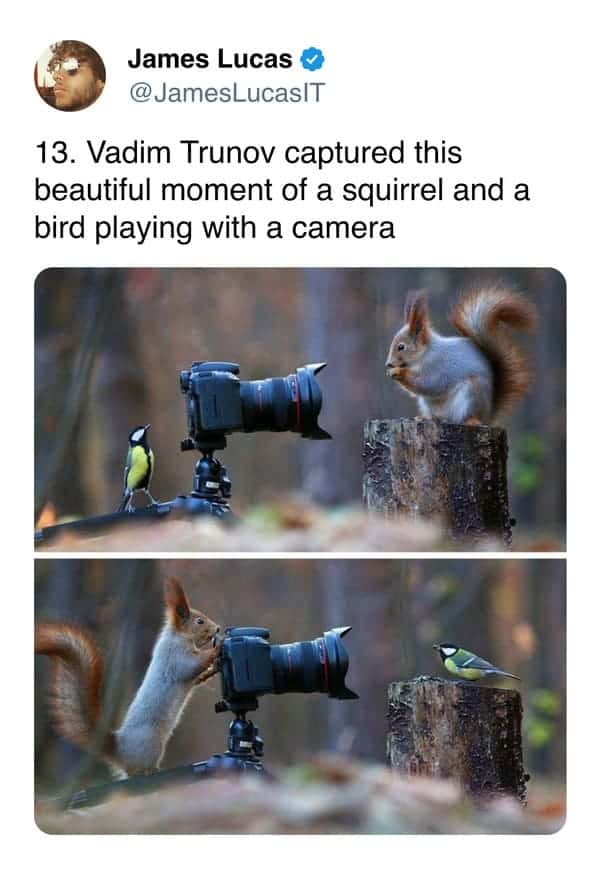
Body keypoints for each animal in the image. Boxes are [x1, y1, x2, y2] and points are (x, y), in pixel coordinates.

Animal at [35, 577, 222, 778]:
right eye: (200, 621)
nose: (218, 628)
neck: (180, 636)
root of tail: (120, 751)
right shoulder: (174, 656)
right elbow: (189, 666)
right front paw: (216, 650)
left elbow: (196, 677)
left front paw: (212, 670)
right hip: (151, 745)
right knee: (138, 771)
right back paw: (152, 771)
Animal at [385, 285, 537, 424]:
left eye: (401, 347)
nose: (388, 364)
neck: (424, 354)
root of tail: (487, 416)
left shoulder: (438, 365)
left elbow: (429, 383)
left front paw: (399, 372)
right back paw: (428, 417)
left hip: (472, 393)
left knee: (468, 416)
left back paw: (471, 420)